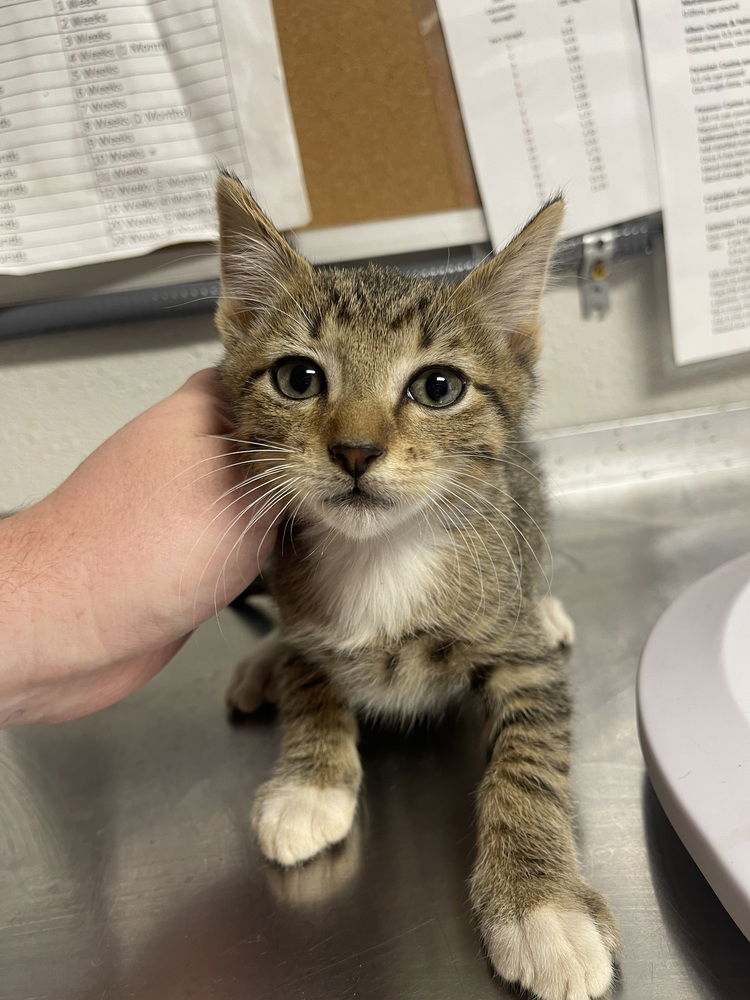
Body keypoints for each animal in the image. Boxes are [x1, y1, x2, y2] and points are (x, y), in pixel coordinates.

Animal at [214, 172, 620, 1000]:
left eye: (438, 387)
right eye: (298, 377)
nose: (355, 449)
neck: (382, 559)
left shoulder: (525, 665)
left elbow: (527, 765)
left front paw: (543, 906)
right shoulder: (303, 612)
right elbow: (310, 681)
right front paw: (310, 783)